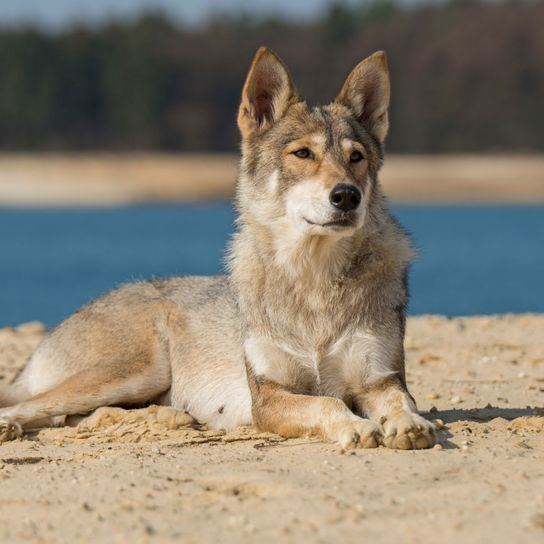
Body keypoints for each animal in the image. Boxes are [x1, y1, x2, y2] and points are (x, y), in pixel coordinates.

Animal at [0, 46, 434, 448]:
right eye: (303, 153)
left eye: (356, 157)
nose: (347, 196)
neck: (314, 280)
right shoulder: (268, 397)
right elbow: (328, 403)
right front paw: (356, 426)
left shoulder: (380, 379)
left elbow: (401, 402)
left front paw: (410, 425)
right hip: (137, 371)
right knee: (34, 407)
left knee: (80, 416)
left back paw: (169, 418)